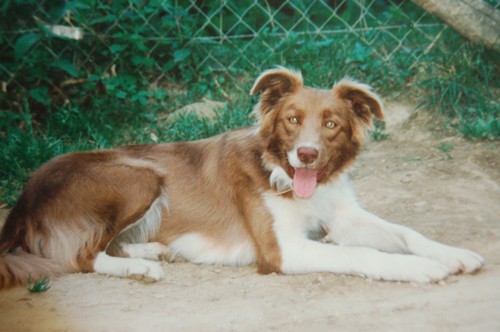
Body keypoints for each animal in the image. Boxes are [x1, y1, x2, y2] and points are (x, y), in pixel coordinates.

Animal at [0, 68, 484, 288]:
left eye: (331, 124)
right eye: (292, 119)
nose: (306, 154)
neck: (284, 174)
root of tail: (23, 198)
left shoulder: (344, 215)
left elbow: (405, 232)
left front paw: (454, 253)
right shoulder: (281, 250)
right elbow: (363, 253)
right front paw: (422, 268)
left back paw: (153, 250)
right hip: (139, 177)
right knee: (82, 255)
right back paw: (140, 266)